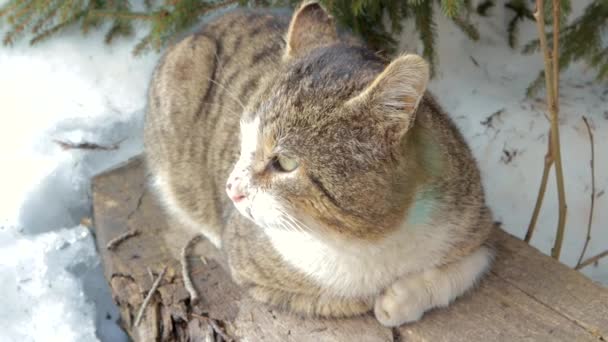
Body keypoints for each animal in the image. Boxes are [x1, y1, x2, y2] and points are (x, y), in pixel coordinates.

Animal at [145, 0, 496, 326]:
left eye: (286, 162)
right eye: (242, 139)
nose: (231, 189)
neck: (374, 239)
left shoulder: (475, 219)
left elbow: (475, 262)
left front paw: (403, 298)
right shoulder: (246, 262)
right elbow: (340, 299)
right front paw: (382, 299)